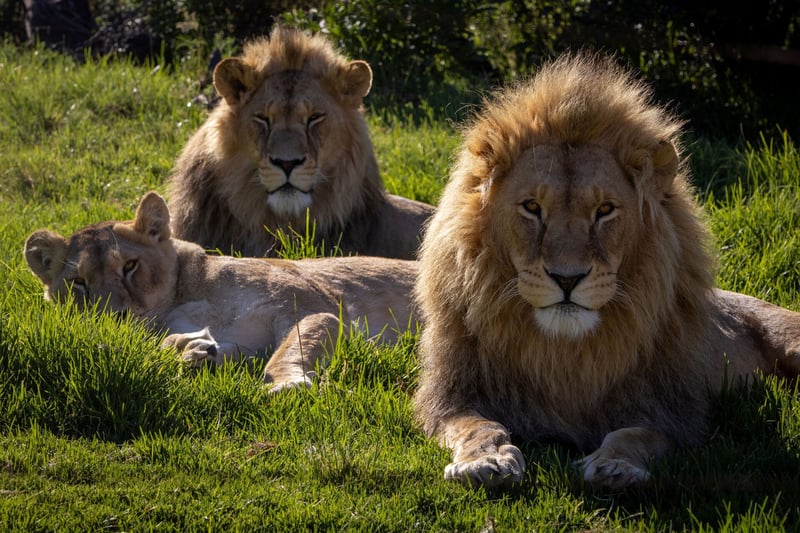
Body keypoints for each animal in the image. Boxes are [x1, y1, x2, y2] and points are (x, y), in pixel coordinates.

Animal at [24, 192, 418, 391]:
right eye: (78, 282)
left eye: (129, 266)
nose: (111, 317)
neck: (183, 298)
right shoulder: (244, 344)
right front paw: (192, 351)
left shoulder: (315, 308)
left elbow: (287, 353)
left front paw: (288, 383)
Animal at [413, 52, 800, 490]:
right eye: (532, 207)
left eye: (604, 210)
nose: (567, 278)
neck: (565, 351)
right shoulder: (452, 396)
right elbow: (479, 426)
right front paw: (486, 462)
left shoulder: (671, 411)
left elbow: (634, 434)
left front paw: (615, 466)